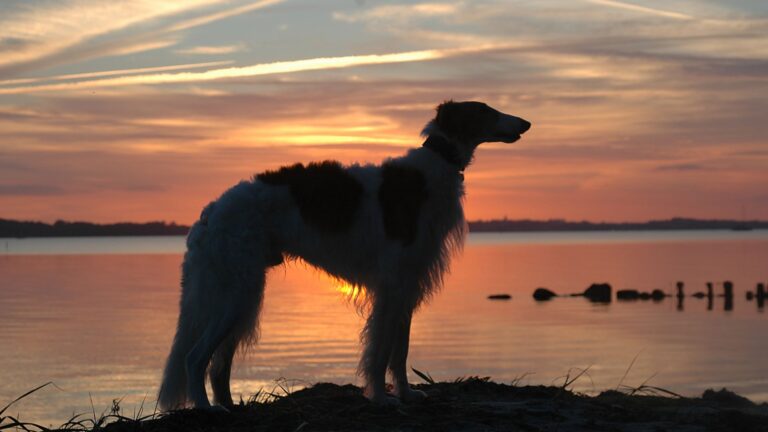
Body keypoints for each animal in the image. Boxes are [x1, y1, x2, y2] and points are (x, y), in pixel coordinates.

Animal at [159, 100, 532, 408]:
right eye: (485, 110)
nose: (526, 123)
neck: (433, 166)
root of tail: (209, 213)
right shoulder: (391, 285)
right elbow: (380, 351)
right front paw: (380, 397)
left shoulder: (407, 284)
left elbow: (400, 351)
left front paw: (407, 393)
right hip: (236, 292)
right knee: (195, 358)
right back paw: (207, 409)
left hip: (242, 295)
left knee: (218, 366)